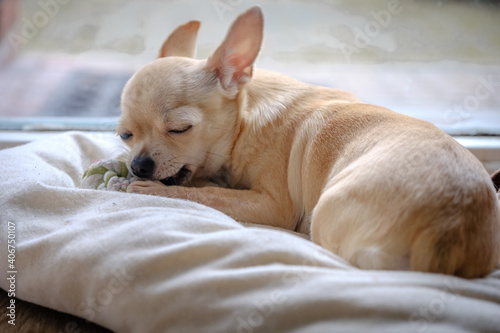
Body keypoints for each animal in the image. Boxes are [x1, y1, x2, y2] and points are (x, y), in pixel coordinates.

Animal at [118, 6, 500, 276]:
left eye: (179, 129)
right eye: (125, 136)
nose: (139, 165)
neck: (244, 121)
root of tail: (448, 228)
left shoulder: (272, 205)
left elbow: (209, 194)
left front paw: (155, 191)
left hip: (324, 215)